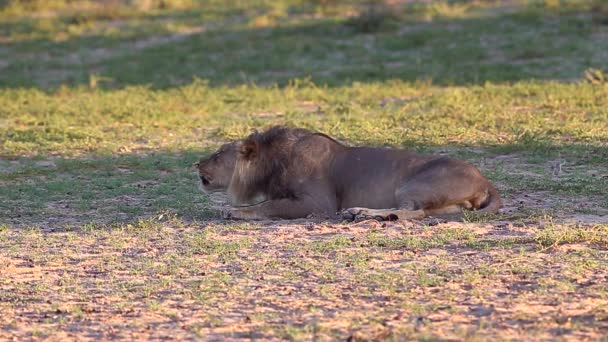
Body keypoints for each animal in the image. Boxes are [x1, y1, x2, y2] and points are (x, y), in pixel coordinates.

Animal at [221, 125, 502, 222]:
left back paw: (363, 213)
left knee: (415, 211)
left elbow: (268, 205)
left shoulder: (320, 203)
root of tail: (486, 181)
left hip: (414, 185)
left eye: (219, 153)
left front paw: (234, 211)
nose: (202, 165)